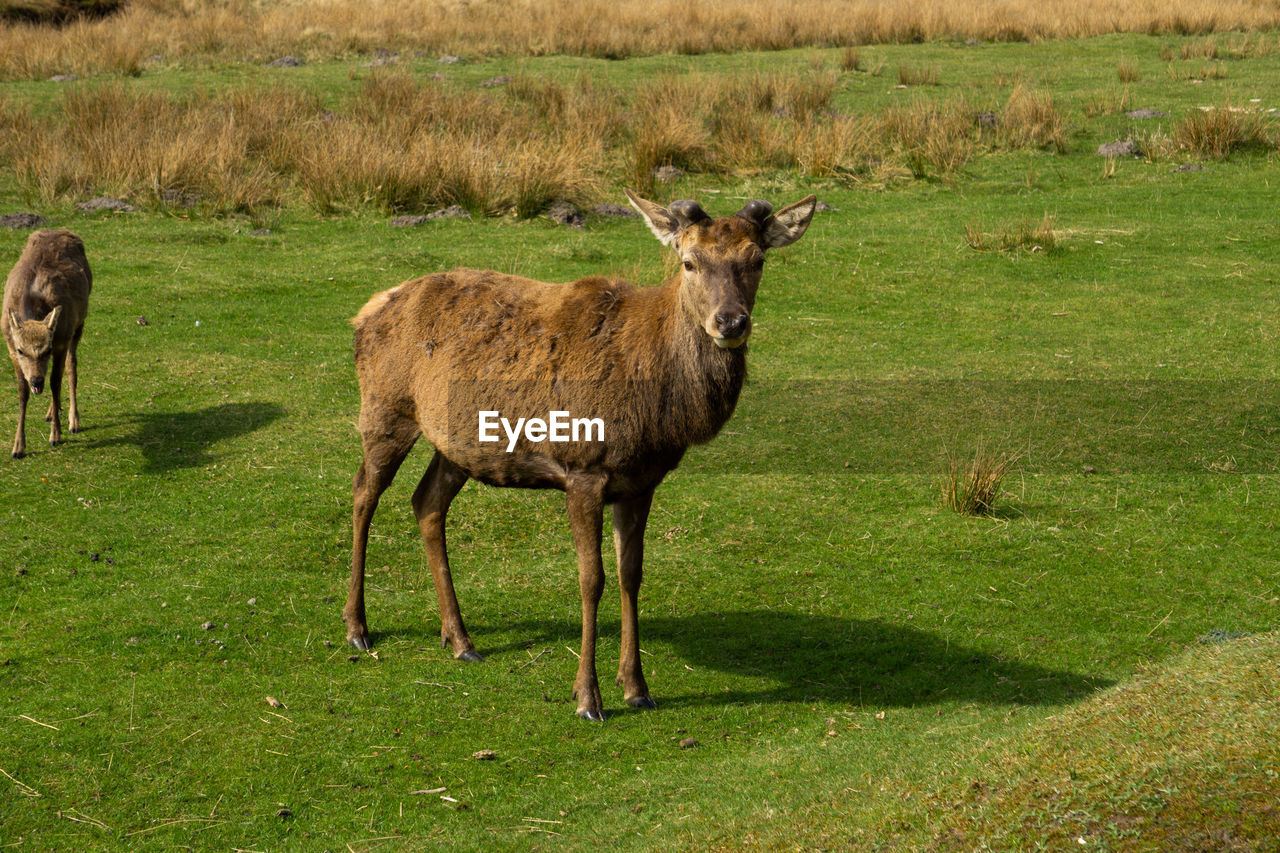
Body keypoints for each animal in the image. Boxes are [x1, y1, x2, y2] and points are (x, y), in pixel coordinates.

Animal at [3, 227, 92, 458]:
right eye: (21, 350)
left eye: (47, 349)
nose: (36, 380)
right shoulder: (9, 346)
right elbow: (22, 391)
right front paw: (18, 446)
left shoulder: (60, 341)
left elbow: (55, 382)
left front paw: (55, 435)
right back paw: (51, 412)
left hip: (78, 324)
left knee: (71, 367)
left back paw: (73, 420)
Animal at [345, 188, 814, 717]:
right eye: (689, 261)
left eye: (757, 260)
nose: (731, 321)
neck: (657, 405)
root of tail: (366, 311)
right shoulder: (583, 468)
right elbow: (593, 579)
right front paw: (587, 697)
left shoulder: (641, 481)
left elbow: (632, 574)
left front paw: (637, 687)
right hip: (385, 406)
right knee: (364, 493)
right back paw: (358, 628)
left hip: (457, 442)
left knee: (426, 502)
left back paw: (460, 640)